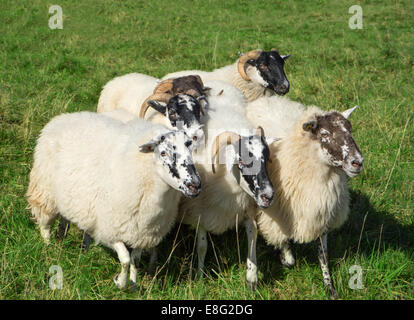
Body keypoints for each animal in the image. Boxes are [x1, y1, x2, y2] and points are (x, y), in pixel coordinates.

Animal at [25, 112, 201, 290]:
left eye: (190, 150)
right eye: (163, 153)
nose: (195, 185)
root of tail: (62, 117)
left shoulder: (142, 233)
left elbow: (135, 260)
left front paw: (133, 285)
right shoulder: (110, 230)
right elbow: (125, 259)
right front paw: (120, 282)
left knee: (66, 219)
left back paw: (70, 241)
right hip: (45, 190)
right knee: (45, 223)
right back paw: (49, 248)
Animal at [175, 80, 274, 290]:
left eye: (266, 158)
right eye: (242, 161)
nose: (268, 196)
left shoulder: (248, 207)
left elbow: (253, 235)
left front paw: (251, 278)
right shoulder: (198, 212)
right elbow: (202, 246)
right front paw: (200, 276)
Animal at [244, 96, 364, 298]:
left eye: (350, 130)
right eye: (324, 133)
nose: (358, 162)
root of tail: (263, 99)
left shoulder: (321, 212)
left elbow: (323, 254)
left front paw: (330, 288)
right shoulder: (275, 212)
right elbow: (282, 247)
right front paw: (284, 256)